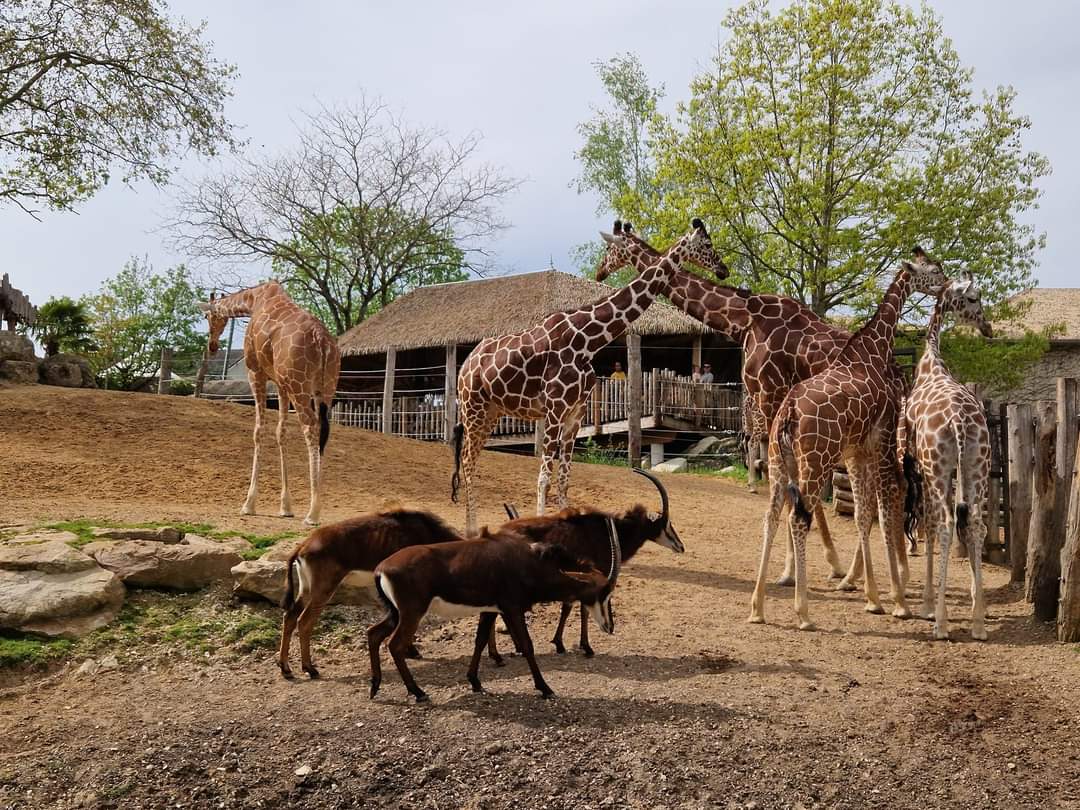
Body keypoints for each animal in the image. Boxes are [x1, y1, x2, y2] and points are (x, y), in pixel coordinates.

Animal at [200, 281, 341, 526]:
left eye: (208, 316)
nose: (213, 345)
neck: (253, 300)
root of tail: (322, 341)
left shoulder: (256, 372)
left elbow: (258, 431)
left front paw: (249, 504)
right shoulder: (281, 384)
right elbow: (280, 433)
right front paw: (285, 507)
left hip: (300, 386)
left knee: (310, 427)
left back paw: (313, 513)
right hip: (325, 388)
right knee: (323, 430)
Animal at [450, 218, 728, 534]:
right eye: (707, 244)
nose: (723, 270)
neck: (587, 341)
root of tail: (465, 365)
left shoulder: (575, 414)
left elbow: (564, 479)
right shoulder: (554, 410)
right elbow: (544, 479)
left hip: (491, 412)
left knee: (471, 459)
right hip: (473, 408)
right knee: (467, 461)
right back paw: (470, 530)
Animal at [596, 221, 912, 584]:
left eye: (610, 248)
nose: (601, 270)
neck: (744, 320)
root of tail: (902, 373)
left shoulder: (770, 394)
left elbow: (787, 481)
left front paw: (810, 566)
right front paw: (815, 564)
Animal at [747, 249, 948, 630]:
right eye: (933, 270)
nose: (946, 285)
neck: (872, 348)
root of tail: (789, 412)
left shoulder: (857, 449)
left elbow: (864, 512)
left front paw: (874, 594)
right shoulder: (877, 440)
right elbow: (875, 510)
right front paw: (886, 598)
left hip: (780, 461)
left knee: (770, 517)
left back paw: (757, 609)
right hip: (816, 461)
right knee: (799, 518)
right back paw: (803, 613)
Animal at [901, 275, 993, 640]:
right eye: (973, 298)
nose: (988, 327)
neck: (931, 363)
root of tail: (959, 422)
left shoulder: (922, 467)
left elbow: (927, 524)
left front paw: (927, 606)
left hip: (938, 467)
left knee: (945, 524)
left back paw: (940, 623)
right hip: (977, 465)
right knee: (976, 523)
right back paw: (979, 623)